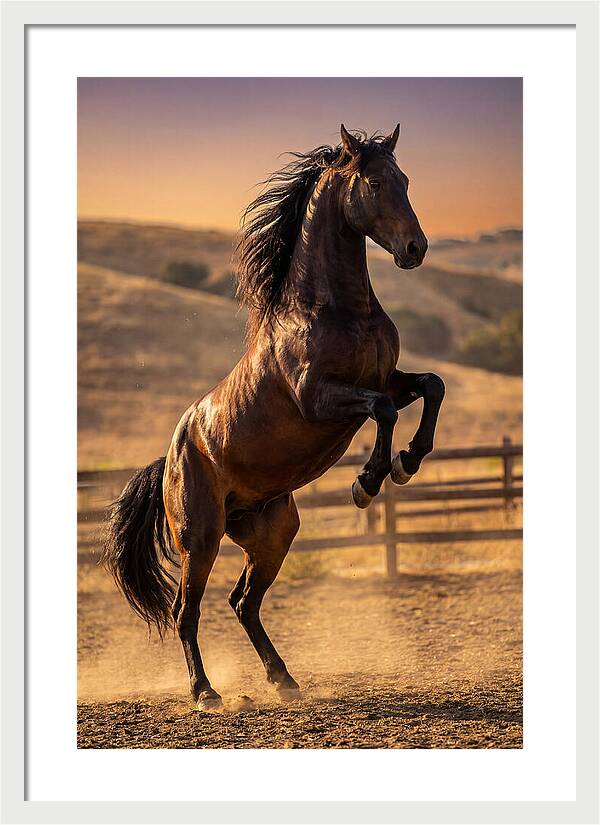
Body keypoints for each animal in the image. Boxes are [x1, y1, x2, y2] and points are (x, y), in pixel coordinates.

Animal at [102, 124, 445, 710]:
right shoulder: (319, 398)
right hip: (201, 538)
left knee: (244, 603)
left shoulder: (387, 380)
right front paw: (367, 482)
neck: (333, 309)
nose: (415, 249)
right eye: (375, 182)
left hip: (272, 532)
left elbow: (431, 387)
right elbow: (381, 412)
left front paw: (407, 462)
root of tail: (169, 457)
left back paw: (284, 680)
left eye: (405, 179)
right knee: (186, 612)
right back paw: (205, 693)